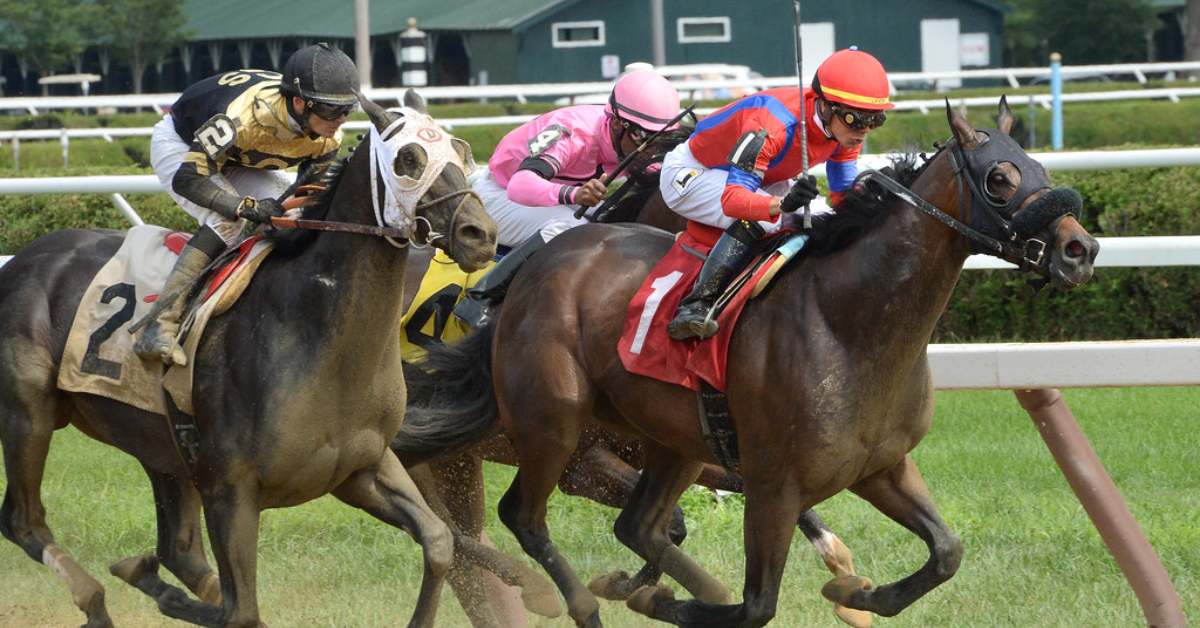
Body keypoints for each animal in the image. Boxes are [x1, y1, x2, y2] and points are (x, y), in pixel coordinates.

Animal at [0, 93, 499, 628]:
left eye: (462, 150)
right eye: (408, 160)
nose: (480, 234)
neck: (314, 334)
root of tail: (24, 258)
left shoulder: (361, 468)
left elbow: (439, 543)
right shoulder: (230, 490)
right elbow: (242, 613)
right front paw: (155, 587)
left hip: (160, 446)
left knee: (178, 549)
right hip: (29, 412)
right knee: (23, 521)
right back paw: (94, 599)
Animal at [391, 100, 1099, 624]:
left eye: (1036, 164)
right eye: (1000, 179)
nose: (1080, 250)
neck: (851, 325)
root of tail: (535, 270)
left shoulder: (881, 466)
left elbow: (946, 553)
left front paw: (854, 591)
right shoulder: (771, 485)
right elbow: (755, 605)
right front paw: (659, 596)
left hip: (668, 441)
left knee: (629, 525)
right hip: (552, 426)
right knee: (514, 519)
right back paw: (576, 601)